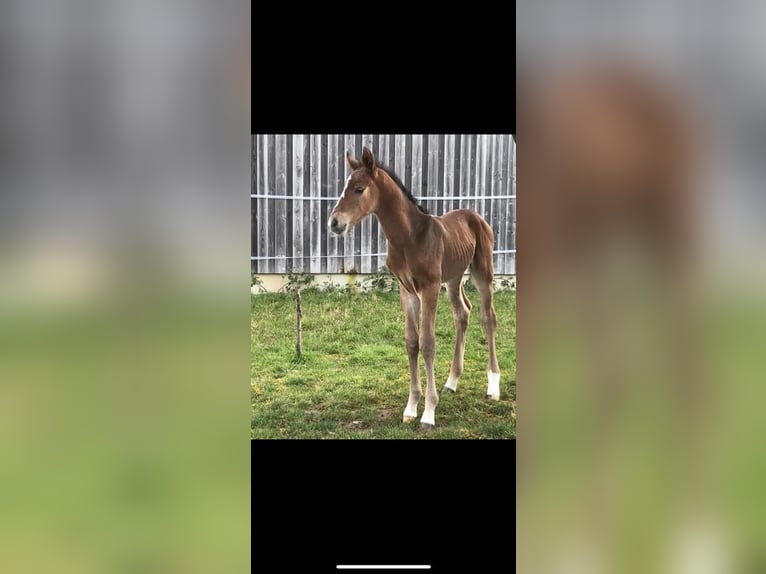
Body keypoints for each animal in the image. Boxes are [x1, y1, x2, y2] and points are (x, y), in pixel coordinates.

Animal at [328, 147, 501, 429]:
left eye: (359, 189)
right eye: (345, 186)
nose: (334, 223)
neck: (410, 238)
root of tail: (475, 215)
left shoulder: (429, 287)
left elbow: (428, 342)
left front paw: (429, 413)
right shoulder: (407, 290)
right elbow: (411, 342)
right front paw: (410, 408)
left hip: (482, 271)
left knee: (488, 318)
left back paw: (493, 386)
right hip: (453, 278)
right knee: (463, 313)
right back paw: (452, 381)